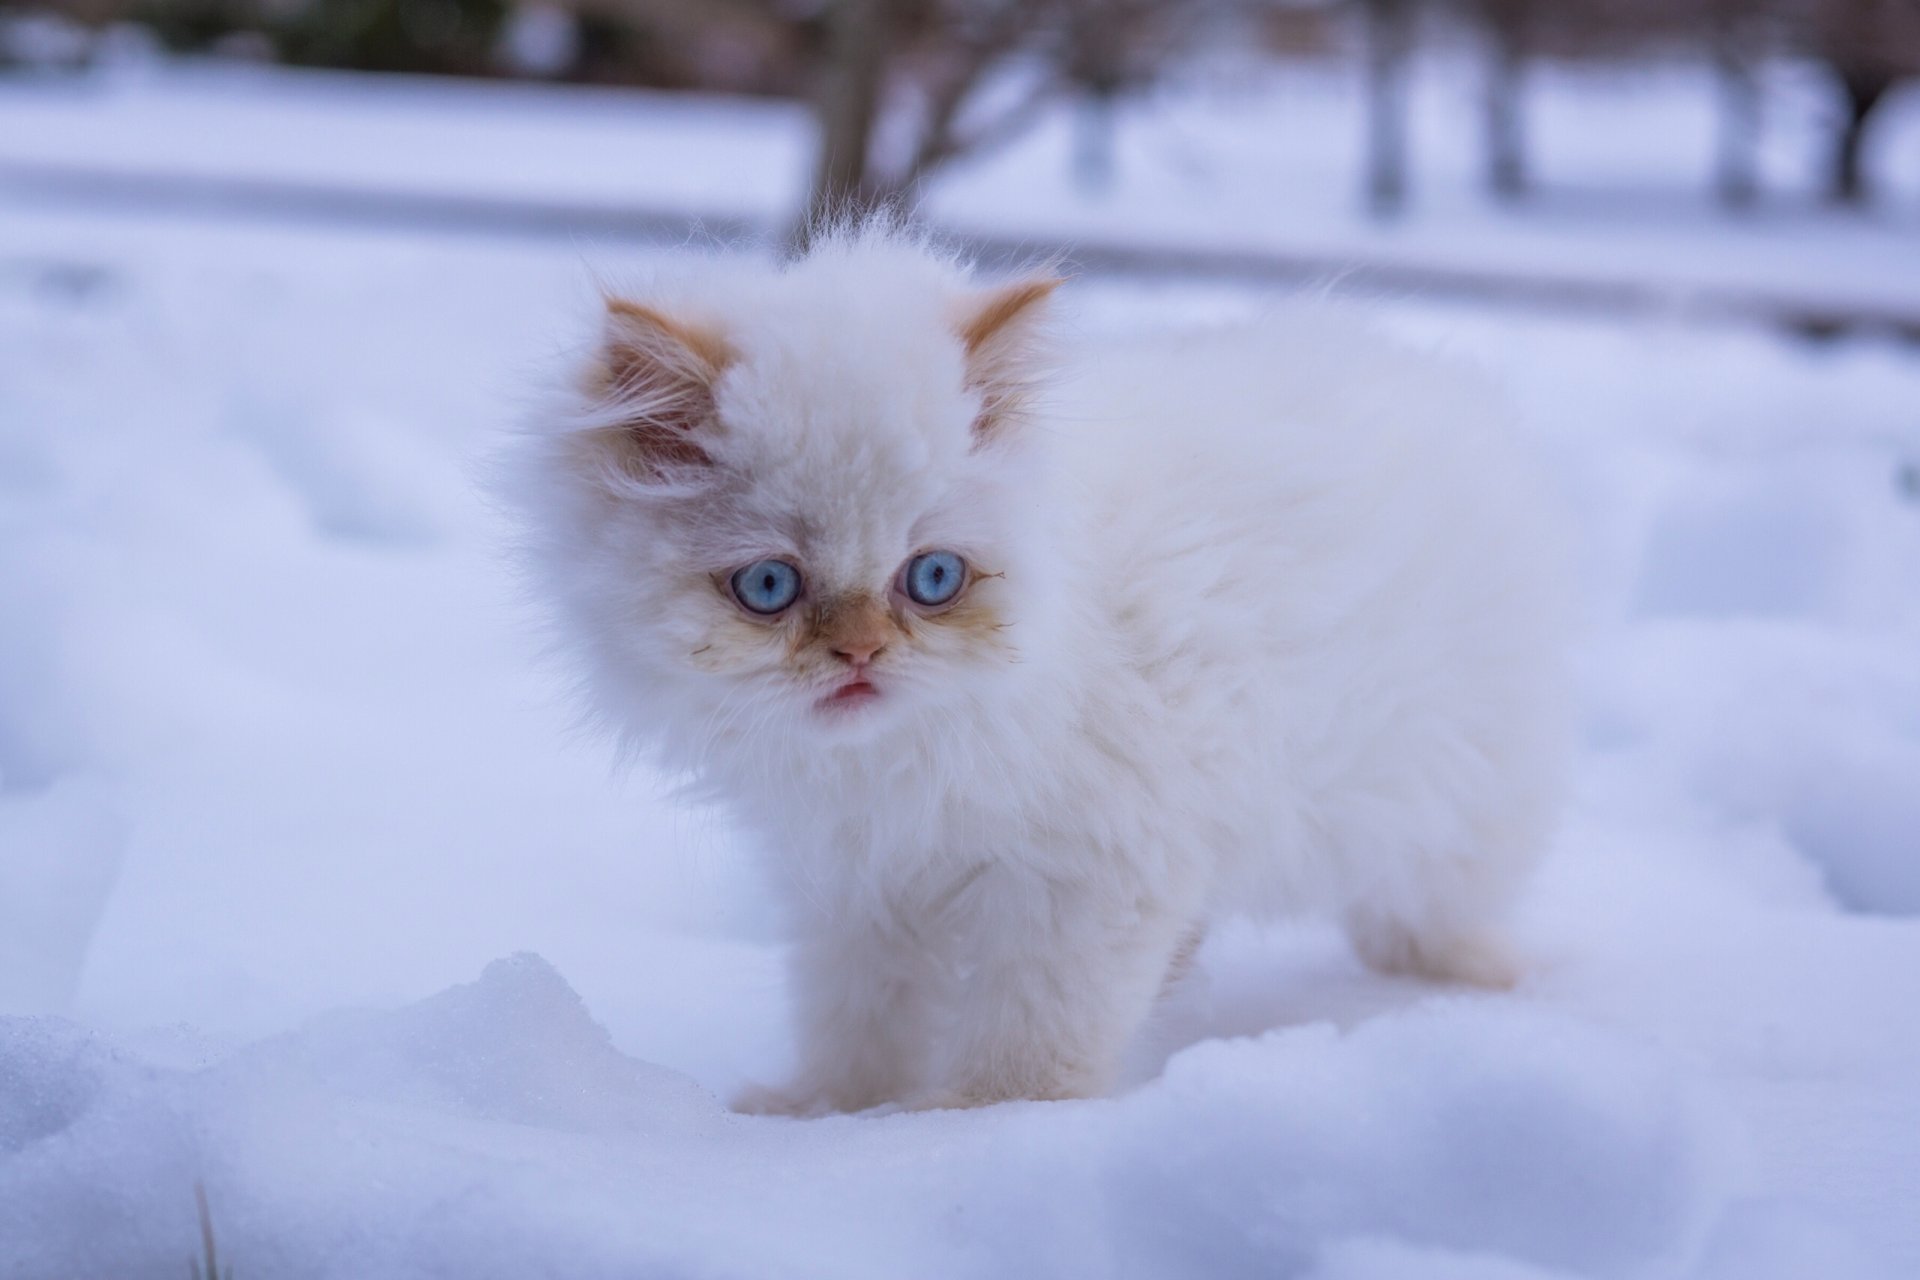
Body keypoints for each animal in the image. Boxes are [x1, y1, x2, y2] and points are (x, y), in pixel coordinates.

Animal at [506, 225, 1559, 1113]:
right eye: (769, 585)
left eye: (932, 578)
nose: (860, 654)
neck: (900, 761)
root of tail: (1430, 374)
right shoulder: (860, 887)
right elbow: (860, 1021)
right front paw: (829, 1115)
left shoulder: (1087, 880)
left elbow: (1033, 1035)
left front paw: (980, 1125)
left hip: (1450, 795)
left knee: (1430, 909)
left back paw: (1488, 987)